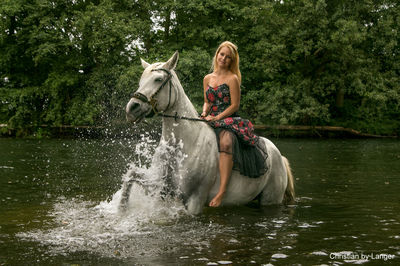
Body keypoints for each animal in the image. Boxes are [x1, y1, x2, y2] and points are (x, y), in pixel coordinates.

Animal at [126, 51, 296, 214]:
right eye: (141, 80)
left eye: (158, 79)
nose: (132, 108)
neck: (183, 144)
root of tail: (279, 155)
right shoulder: (160, 188)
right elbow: (131, 176)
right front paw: (122, 208)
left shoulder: (195, 199)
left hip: (270, 199)